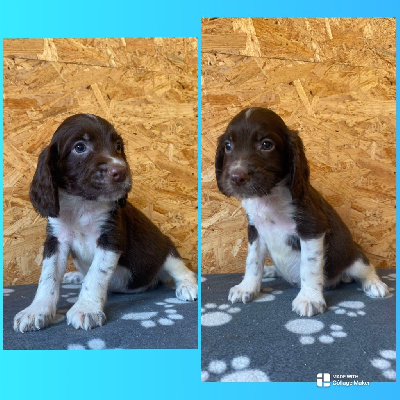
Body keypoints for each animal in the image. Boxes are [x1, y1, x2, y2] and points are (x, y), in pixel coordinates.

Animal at [13, 112, 198, 332]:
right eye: (80, 147)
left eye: (118, 146)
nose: (122, 171)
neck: (82, 204)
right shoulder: (56, 240)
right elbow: (48, 277)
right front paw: (36, 311)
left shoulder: (110, 237)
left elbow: (96, 275)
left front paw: (86, 309)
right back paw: (76, 276)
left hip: (165, 250)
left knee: (181, 269)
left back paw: (188, 287)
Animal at [216, 106, 388, 316]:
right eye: (228, 146)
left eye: (266, 145)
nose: (236, 177)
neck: (268, 198)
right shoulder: (255, 230)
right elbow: (253, 261)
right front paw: (247, 288)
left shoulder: (312, 229)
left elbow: (309, 267)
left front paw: (309, 299)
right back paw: (271, 271)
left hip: (354, 260)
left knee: (367, 268)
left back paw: (375, 284)